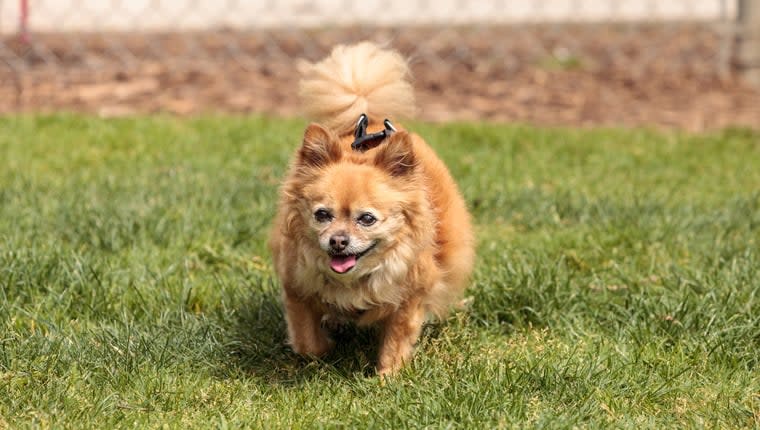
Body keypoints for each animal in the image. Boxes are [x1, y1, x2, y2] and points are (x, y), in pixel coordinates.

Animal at [268, 41, 476, 376]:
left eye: (367, 219)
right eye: (322, 215)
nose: (338, 241)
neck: (355, 279)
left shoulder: (409, 298)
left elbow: (397, 338)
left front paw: (387, 377)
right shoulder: (296, 287)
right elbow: (306, 340)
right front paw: (320, 354)